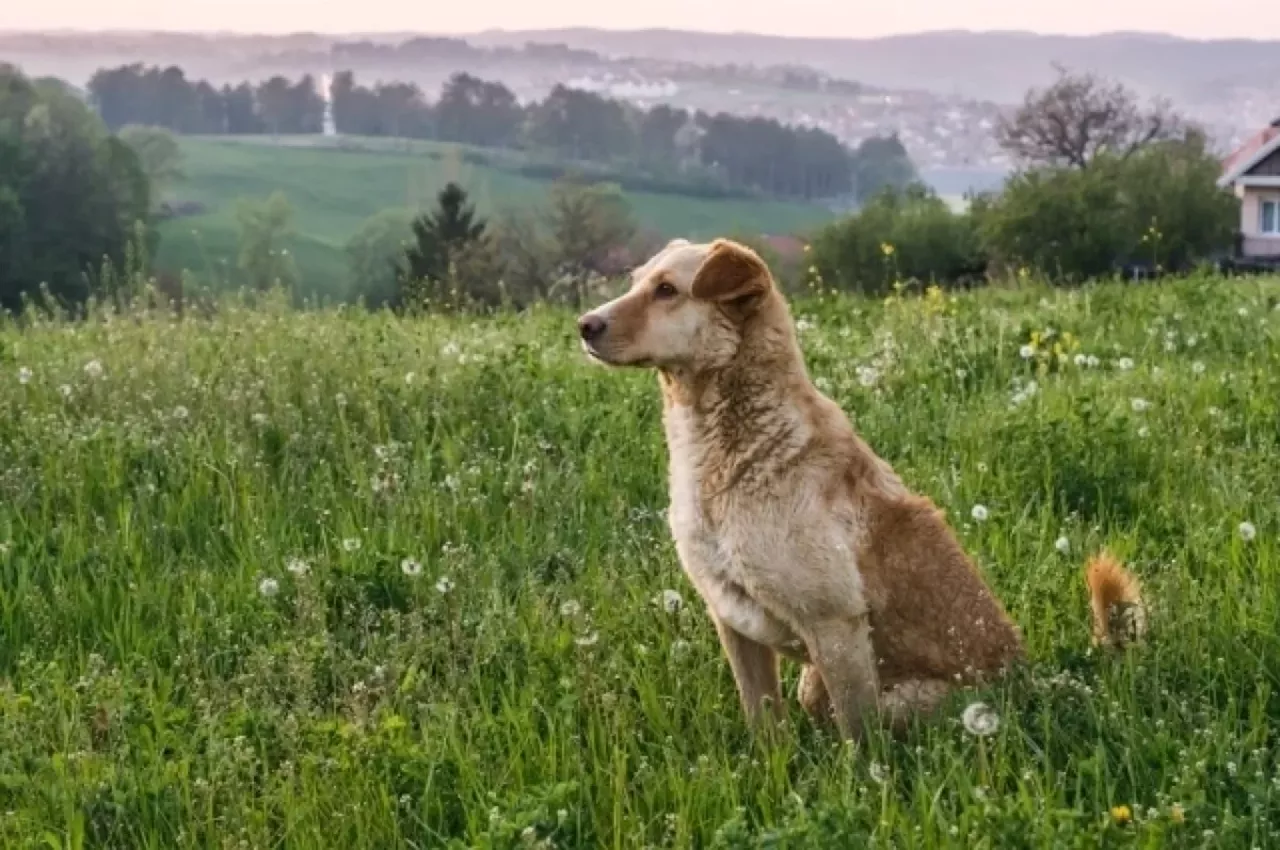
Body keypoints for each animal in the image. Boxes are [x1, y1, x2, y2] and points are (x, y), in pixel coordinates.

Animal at [576, 236, 1146, 737]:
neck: (733, 448)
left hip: (901, 697)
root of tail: (1037, 682)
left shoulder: (836, 626)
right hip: (813, 684)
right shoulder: (733, 621)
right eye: (636, 282)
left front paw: (859, 791)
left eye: (667, 290)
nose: (583, 325)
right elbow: (763, 728)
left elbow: (859, 746)